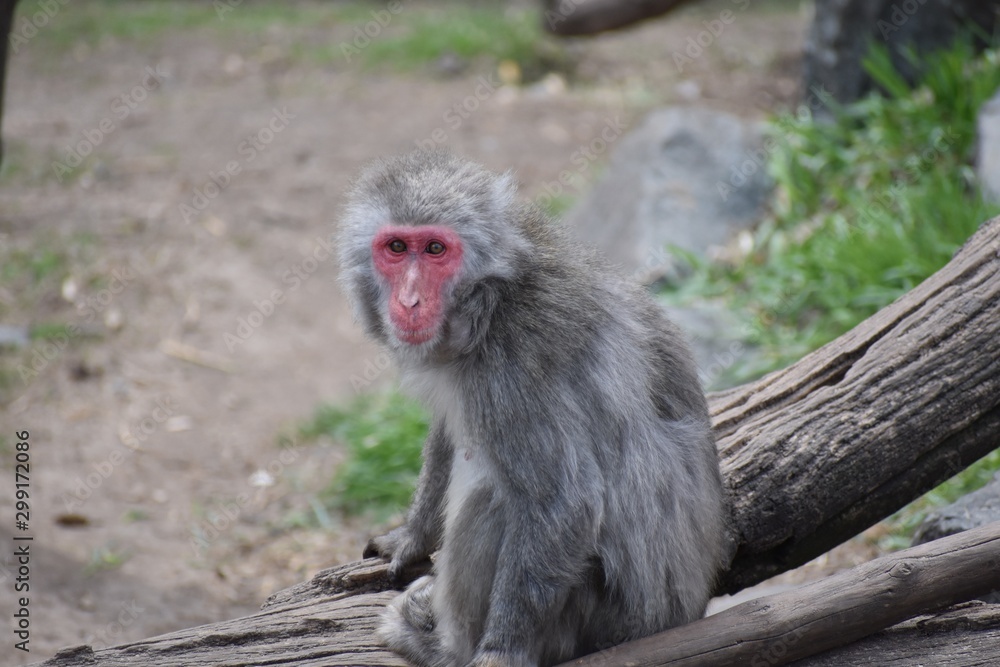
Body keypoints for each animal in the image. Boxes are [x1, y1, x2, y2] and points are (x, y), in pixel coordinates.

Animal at [338, 151, 728, 667]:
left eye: (436, 249)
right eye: (397, 247)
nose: (409, 300)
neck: (489, 301)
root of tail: (686, 610)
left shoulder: (516, 364)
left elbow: (563, 501)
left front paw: (499, 652)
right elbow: (449, 431)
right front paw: (412, 534)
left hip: (595, 618)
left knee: (495, 500)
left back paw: (442, 646)